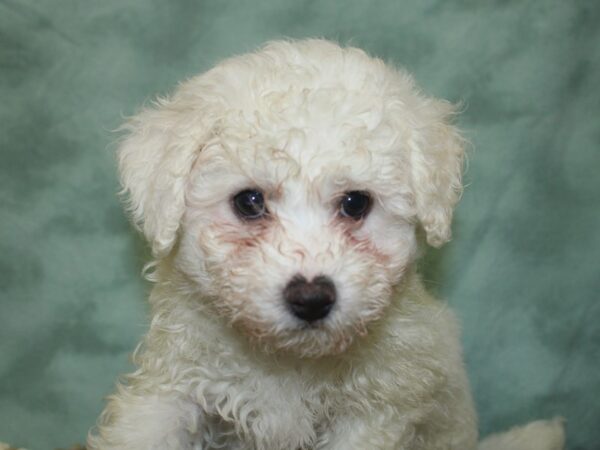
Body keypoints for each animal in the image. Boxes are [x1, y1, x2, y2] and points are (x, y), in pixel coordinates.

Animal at [86, 39, 564, 450]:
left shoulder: (373, 412)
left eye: (355, 203)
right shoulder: (175, 385)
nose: (312, 298)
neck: (288, 361)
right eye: (249, 202)